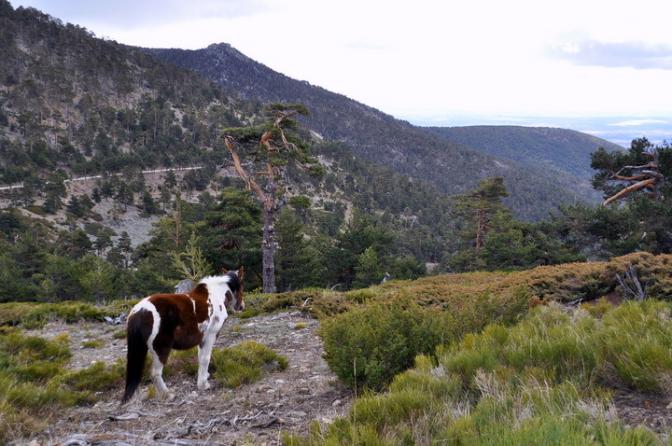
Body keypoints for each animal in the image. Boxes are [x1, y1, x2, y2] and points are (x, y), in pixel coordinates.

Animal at [122, 268, 245, 403]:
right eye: (241, 285)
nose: (241, 307)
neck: (214, 296)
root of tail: (140, 311)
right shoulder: (210, 336)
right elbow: (205, 358)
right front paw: (203, 384)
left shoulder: (201, 339)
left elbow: (200, 357)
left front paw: (204, 376)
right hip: (161, 349)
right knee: (155, 373)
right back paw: (167, 395)